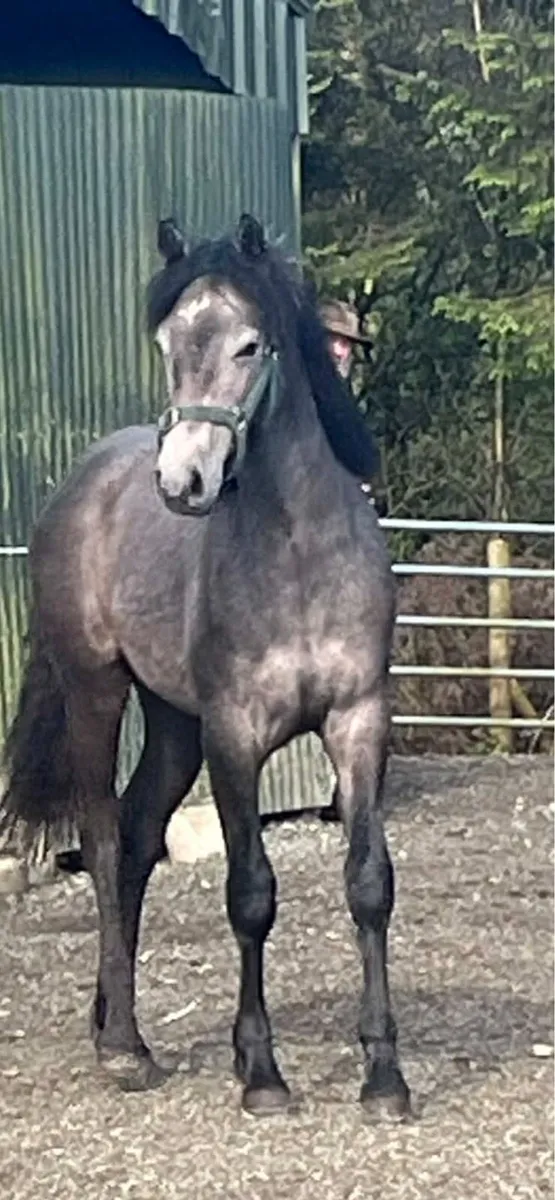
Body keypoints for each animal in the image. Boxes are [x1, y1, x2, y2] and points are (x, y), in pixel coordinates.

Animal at [0, 213, 411, 1120]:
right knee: (104, 840)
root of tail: (83, 484)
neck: (297, 555)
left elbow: (368, 883)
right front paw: (259, 1071)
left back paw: (110, 1016)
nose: (181, 481)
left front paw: (383, 1076)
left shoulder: (357, 721)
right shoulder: (235, 734)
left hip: (172, 725)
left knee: (137, 837)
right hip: (100, 694)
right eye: (166, 344)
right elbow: (249, 892)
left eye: (250, 345)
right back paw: (125, 1049)